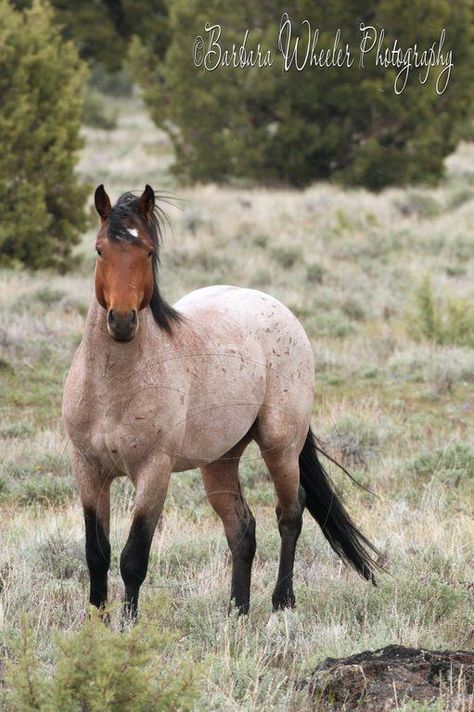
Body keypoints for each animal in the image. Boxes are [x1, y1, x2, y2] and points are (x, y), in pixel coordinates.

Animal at [62, 186, 382, 620]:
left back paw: (281, 603)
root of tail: (277, 307)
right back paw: (237, 612)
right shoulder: (89, 470)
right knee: (242, 528)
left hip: (280, 445)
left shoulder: (153, 473)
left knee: (290, 513)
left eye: (148, 251)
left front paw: (128, 626)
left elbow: (133, 558)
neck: (112, 388)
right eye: (99, 250)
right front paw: (97, 622)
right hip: (220, 460)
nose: (122, 321)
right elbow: (96, 553)